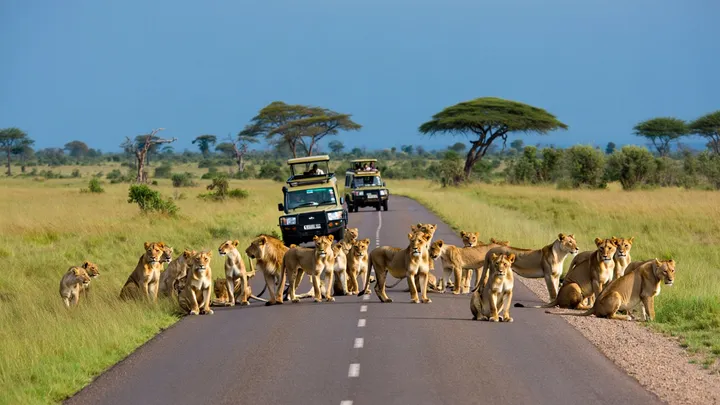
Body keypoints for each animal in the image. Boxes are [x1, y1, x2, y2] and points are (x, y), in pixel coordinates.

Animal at [546, 258, 675, 321]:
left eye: (672, 270)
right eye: (665, 271)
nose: (670, 279)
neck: (655, 272)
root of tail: (595, 306)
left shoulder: (642, 296)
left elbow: (643, 308)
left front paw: (643, 319)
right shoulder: (647, 295)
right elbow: (651, 311)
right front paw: (652, 321)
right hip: (616, 294)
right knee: (610, 316)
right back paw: (626, 317)